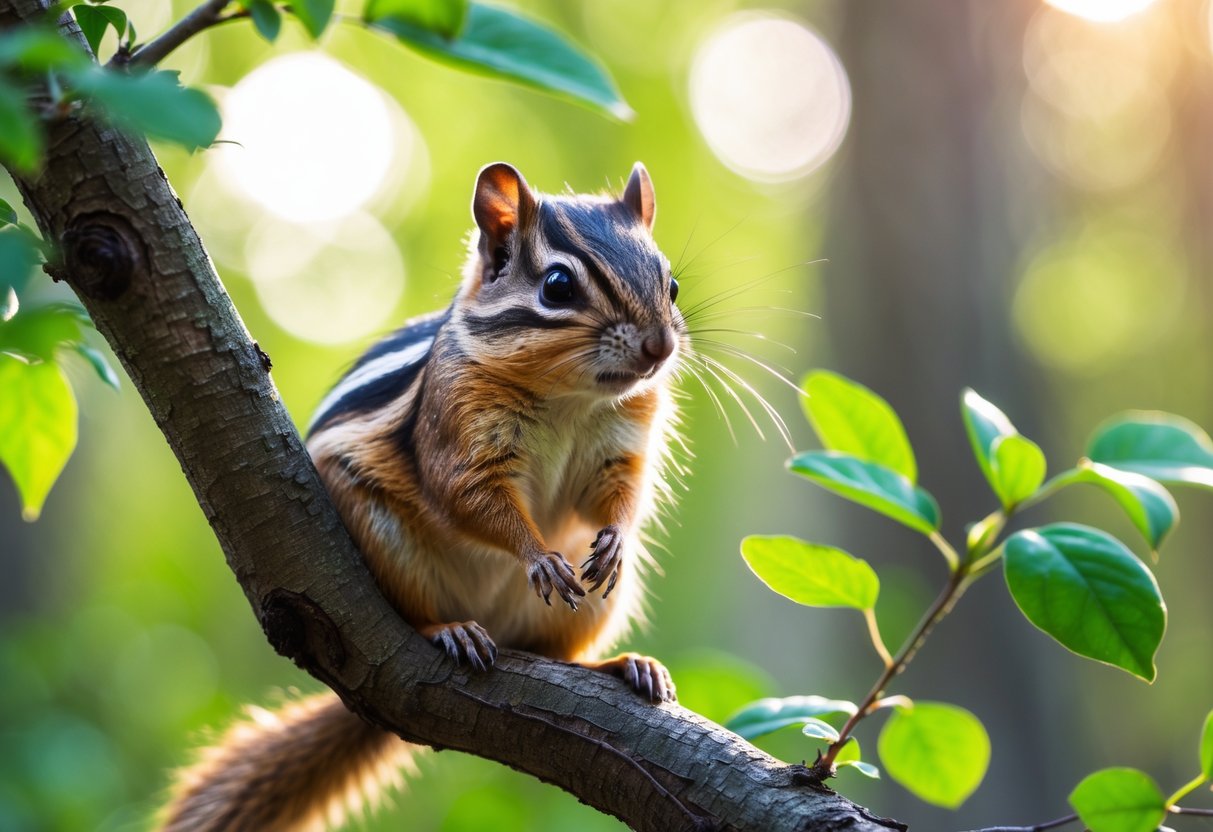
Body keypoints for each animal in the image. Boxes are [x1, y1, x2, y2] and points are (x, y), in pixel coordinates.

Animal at [161, 162, 687, 831]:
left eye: (672, 285)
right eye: (558, 286)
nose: (659, 347)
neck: (571, 397)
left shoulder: (623, 443)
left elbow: (620, 495)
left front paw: (615, 539)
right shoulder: (455, 428)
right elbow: (467, 495)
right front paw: (537, 556)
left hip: (593, 609)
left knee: (556, 654)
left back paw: (621, 667)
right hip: (388, 543)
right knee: (418, 614)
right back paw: (452, 630)